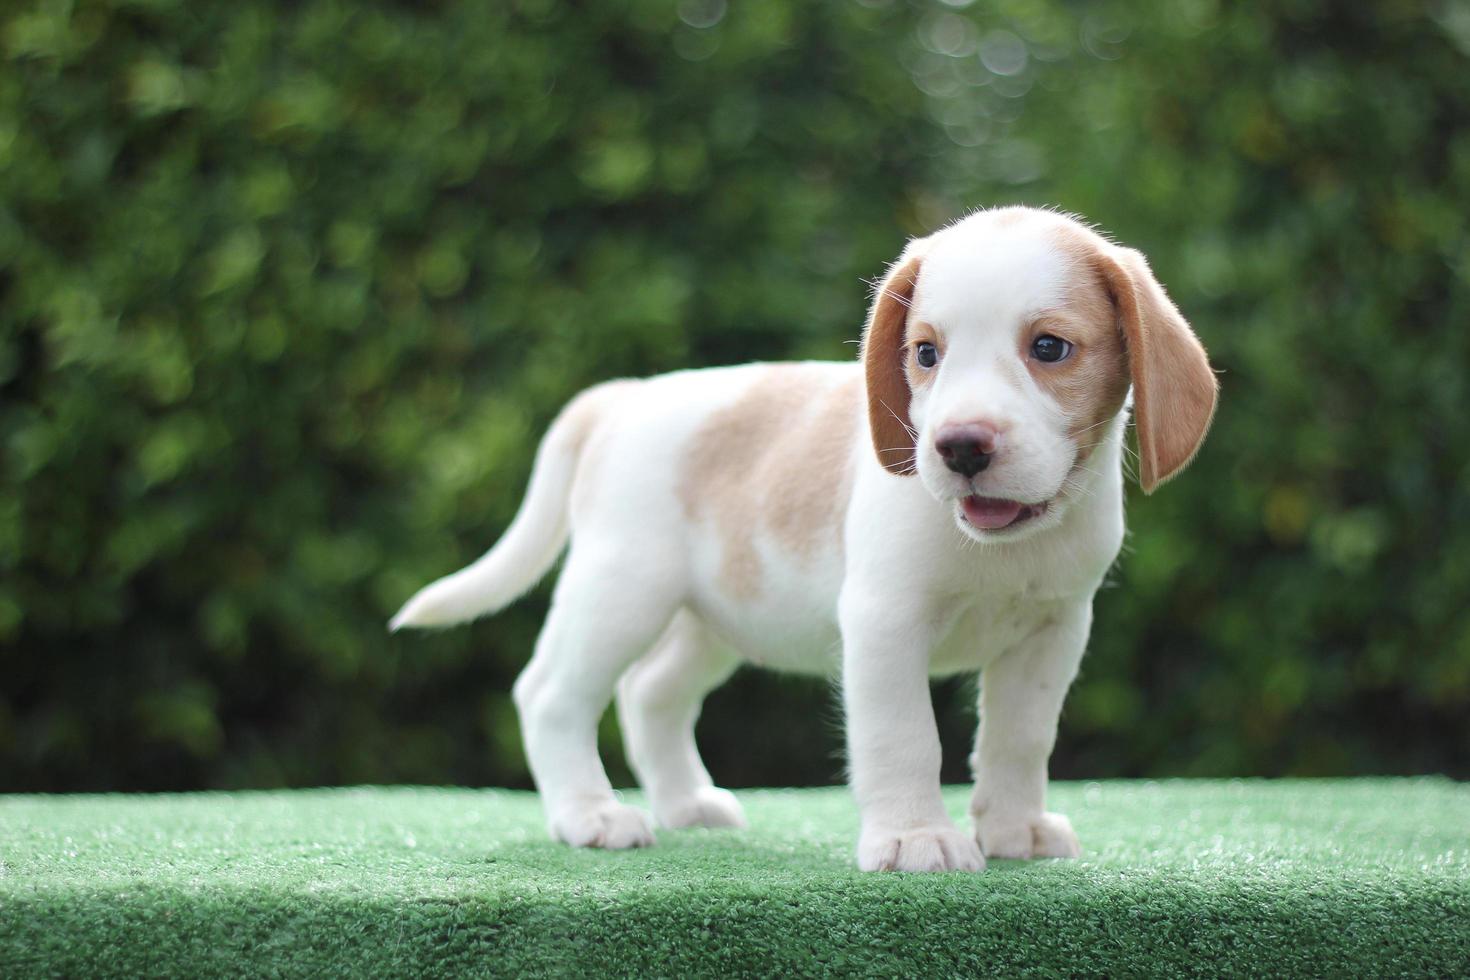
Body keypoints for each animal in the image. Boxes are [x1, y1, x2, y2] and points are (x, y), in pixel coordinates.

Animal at [388, 205, 1217, 875]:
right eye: (926, 354)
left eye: (1049, 348)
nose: (959, 447)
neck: (1002, 549)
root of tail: (621, 399)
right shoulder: (885, 625)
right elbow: (904, 737)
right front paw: (914, 837)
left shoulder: (1052, 633)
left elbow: (1019, 739)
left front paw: (1016, 830)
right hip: (621, 594)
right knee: (551, 694)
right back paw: (589, 814)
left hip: (709, 619)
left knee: (650, 693)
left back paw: (687, 805)